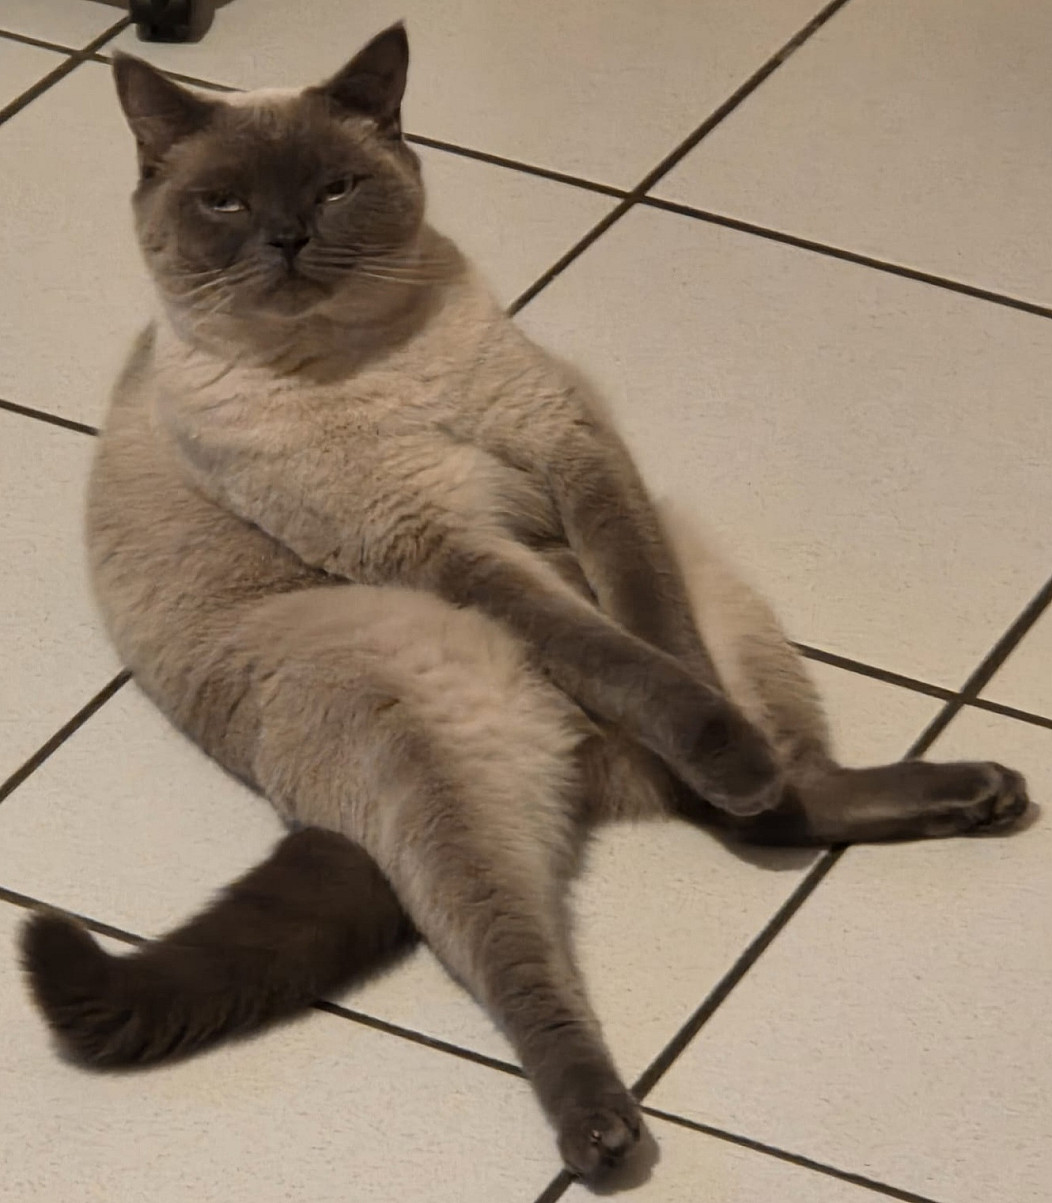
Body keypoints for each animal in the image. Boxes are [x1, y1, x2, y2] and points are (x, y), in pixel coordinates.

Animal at [20, 24, 1030, 1182]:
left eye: (334, 188)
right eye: (223, 202)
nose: (284, 238)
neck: (363, 362)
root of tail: (588, 760)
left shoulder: (574, 457)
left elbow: (653, 636)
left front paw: (728, 752)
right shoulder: (440, 544)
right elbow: (620, 656)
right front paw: (717, 748)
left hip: (716, 587)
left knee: (790, 798)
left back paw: (964, 793)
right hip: (440, 773)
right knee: (525, 965)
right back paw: (601, 1132)